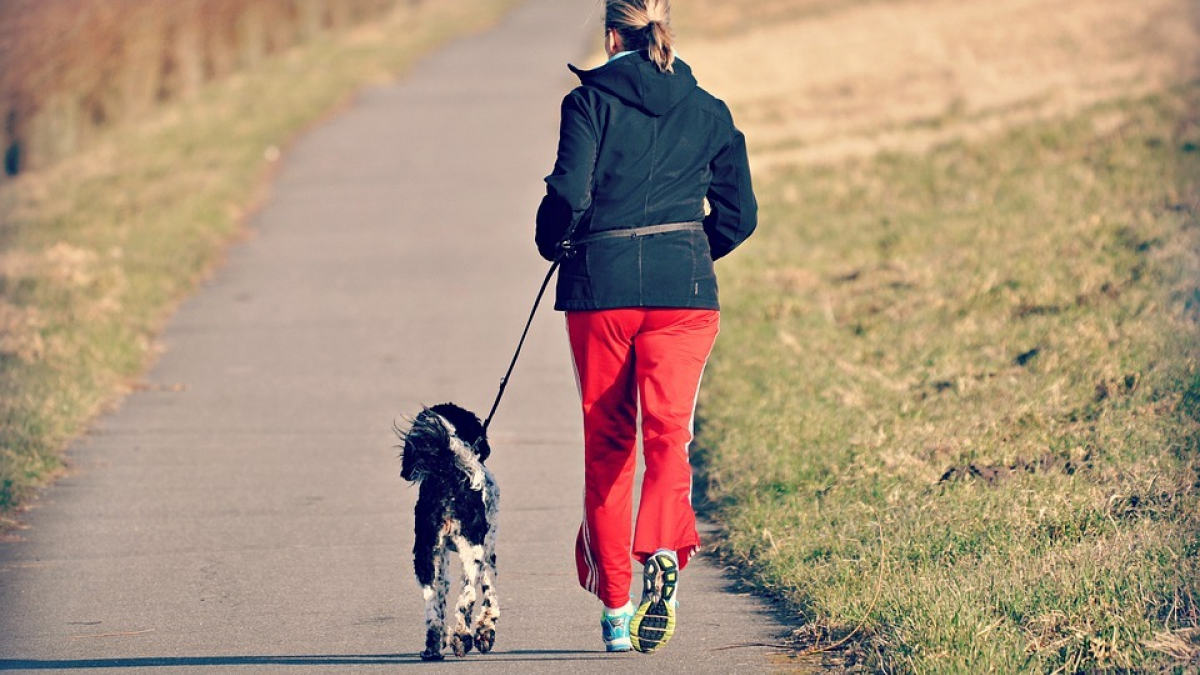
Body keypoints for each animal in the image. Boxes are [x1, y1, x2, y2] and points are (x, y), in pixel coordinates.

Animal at [396, 401, 499, 658]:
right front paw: (485, 631)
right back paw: (462, 638)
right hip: (473, 550)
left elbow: (441, 598)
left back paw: (433, 646)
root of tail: (448, 476)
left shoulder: (441, 555)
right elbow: (489, 593)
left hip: (425, 554)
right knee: (468, 597)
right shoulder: (488, 549)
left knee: (431, 605)